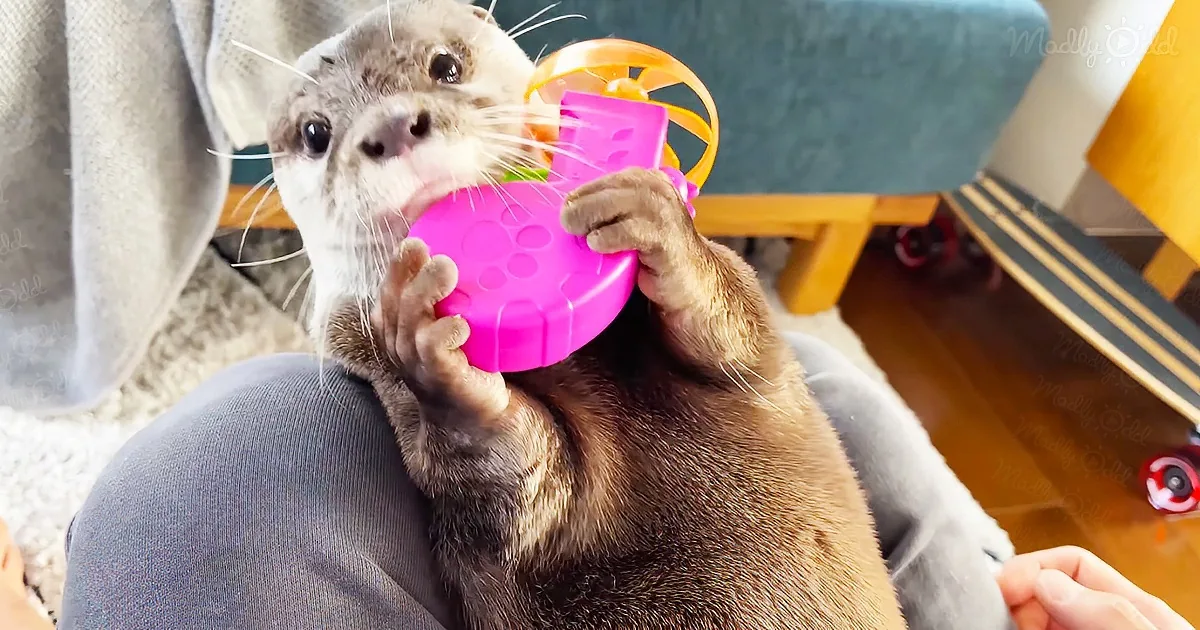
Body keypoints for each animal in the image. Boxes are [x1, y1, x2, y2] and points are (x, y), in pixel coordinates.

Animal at [265, 1, 908, 628]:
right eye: (315, 132)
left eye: (446, 65)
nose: (392, 126)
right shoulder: (369, 361)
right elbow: (509, 483)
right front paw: (434, 352)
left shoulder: (761, 362)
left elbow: (740, 324)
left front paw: (655, 221)